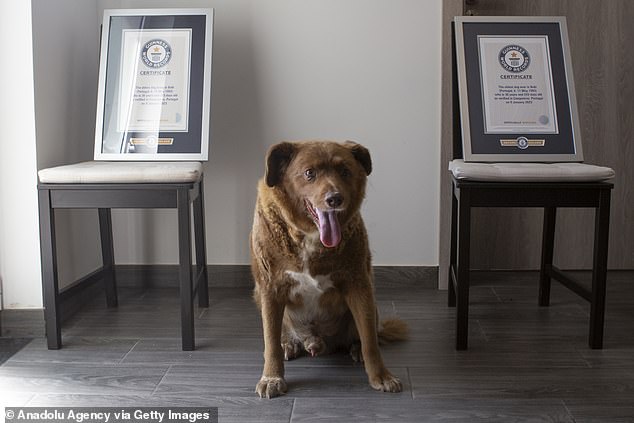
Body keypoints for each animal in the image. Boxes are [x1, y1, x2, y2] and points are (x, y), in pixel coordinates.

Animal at [248, 141, 404, 400]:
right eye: (309, 173)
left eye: (345, 171)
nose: (335, 199)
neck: (310, 236)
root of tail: (317, 342)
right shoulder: (270, 288)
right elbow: (270, 342)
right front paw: (272, 378)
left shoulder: (359, 285)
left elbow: (370, 341)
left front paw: (381, 376)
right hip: (258, 296)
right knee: (280, 334)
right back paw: (288, 344)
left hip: (371, 303)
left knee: (366, 333)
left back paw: (355, 349)